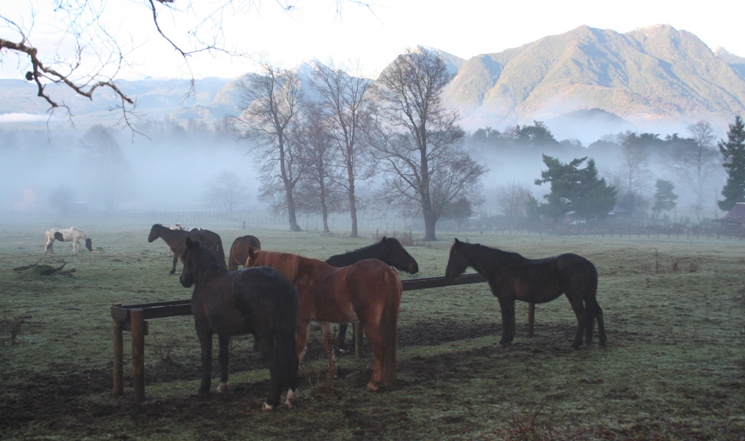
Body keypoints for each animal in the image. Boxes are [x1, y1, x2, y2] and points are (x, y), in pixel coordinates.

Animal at [179, 237, 299, 410]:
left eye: (184, 256)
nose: (183, 280)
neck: (207, 278)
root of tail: (279, 281)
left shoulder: (203, 329)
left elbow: (206, 357)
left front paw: (203, 387)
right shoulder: (224, 332)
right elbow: (223, 356)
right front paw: (223, 385)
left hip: (263, 335)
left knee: (274, 363)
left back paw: (271, 401)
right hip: (287, 330)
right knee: (293, 358)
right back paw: (291, 397)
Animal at [246, 248, 402, 391]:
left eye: (249, 268)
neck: (301, 276)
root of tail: (386, 271)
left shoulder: (302, 321)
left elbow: (299, 350)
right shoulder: (323, 321)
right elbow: (328, 345)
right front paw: (332, 373)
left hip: (369, 323)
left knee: (379, 347)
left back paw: (374, 382)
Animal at [445, 238, 606, 349]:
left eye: (455, 253)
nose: (447, 275)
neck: (499, 266)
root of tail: (588, 264)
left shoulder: (504, 298)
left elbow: (505, 318)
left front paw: (503, 340)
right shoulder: (510, 299)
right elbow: (509, 317)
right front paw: (509, 339)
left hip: (575, 297)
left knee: (582, 316)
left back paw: (576, 343)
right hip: (588, 296)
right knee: (597, 312)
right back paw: (602, 341)